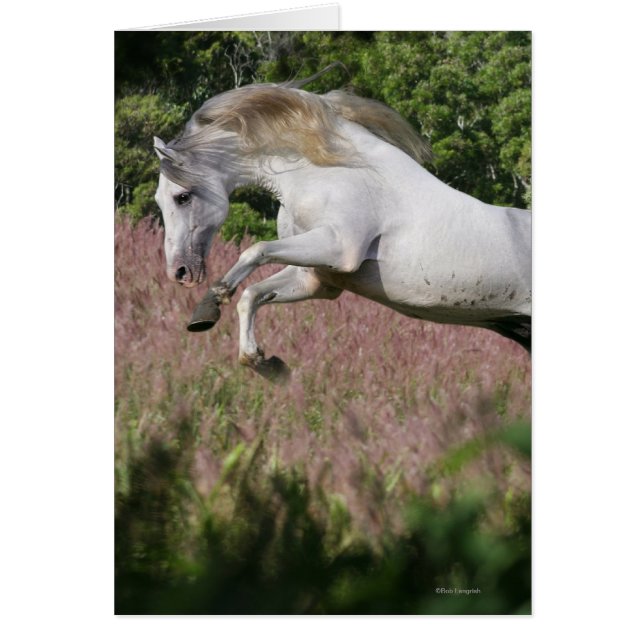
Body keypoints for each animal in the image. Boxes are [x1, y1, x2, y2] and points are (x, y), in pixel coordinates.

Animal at [153, 68, 531, 380]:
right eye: (160, 200)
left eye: (182, 197)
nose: (179, 272)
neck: (332, 170)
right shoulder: (317, 279)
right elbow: (252, 294)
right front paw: (264, 363)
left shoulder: (339, 248)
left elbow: (255, 251)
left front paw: (211, 303)